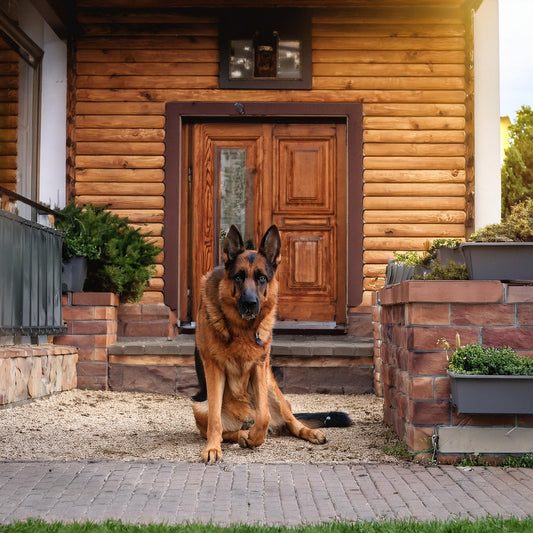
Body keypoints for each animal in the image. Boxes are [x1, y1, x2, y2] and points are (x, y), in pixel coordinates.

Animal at [193, 224, 352, 462]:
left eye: (261, 278)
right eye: (238, 277)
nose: (250, 304)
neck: (242, 329)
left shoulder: (259, 368)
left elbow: (264, 416)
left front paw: (255, 437)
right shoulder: (214, 369)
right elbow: (216, 421)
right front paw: (213, 448)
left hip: (272, 390)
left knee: (290, 420)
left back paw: (307, 432)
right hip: (199, 406)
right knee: (227, 430)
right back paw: (240, 434)